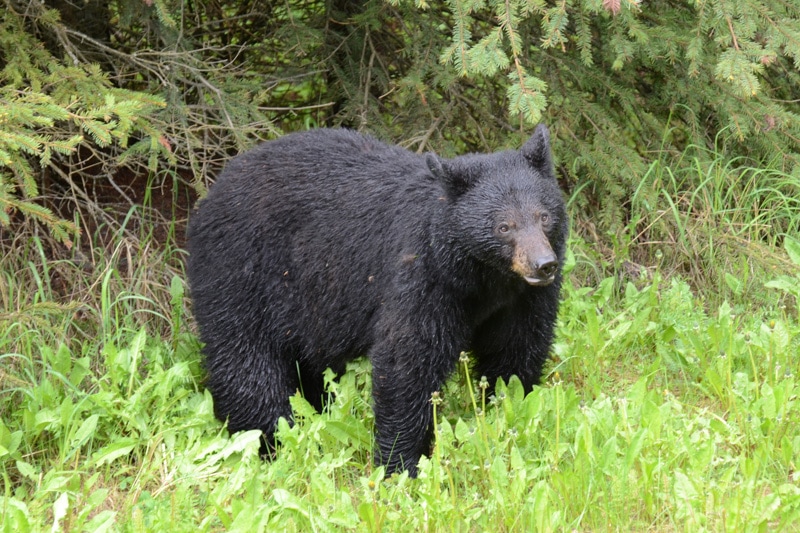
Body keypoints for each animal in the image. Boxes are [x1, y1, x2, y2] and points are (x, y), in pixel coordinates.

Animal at [187, 124, 564, 474]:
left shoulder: (521, 298)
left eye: (544, 216)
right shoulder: (422, 275)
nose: (544, 264)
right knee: (245, 362)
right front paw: (400, 463)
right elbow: (408, 359)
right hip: (241, 273)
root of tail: (209, 196)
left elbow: (515, 350)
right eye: (504, 226)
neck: (484, 279)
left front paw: (507, 406)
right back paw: (265, 441)